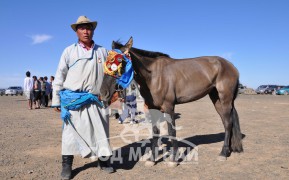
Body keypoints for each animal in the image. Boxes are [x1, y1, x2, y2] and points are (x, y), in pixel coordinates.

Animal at [100, 37, 242, 167]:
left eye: (120, 60)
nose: (103, 93)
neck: (154, 76)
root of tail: (230, 65)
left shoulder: (169, 107)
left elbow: (171, 131)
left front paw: (173, 159)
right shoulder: (153, 108)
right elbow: (155, 132)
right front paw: (152, 159)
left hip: (225, 99)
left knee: (228, 123)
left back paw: (223, 153)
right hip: (216, 99)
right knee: (226, 122)